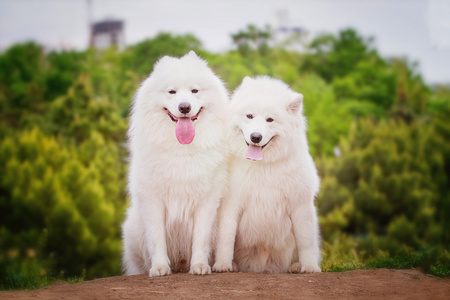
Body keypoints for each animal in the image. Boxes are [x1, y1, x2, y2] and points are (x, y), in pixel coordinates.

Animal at [122, 51, 229, 276]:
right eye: (171, 92)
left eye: (194, 90)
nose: (184, 107)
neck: (182, 149)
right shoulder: (152, 200)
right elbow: (157, 238)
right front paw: (159, 268)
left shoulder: (206, 201)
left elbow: (200, 238)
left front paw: (199, 266)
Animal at [214, 76, 322, 274]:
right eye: (249, 116)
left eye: (270, 120)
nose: (256, 137)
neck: (263, 165)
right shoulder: (231, 204)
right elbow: (226, 238)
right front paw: (223, 265)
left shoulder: (300, 205)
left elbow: (306, 242)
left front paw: (310, 267)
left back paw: (295, 266)